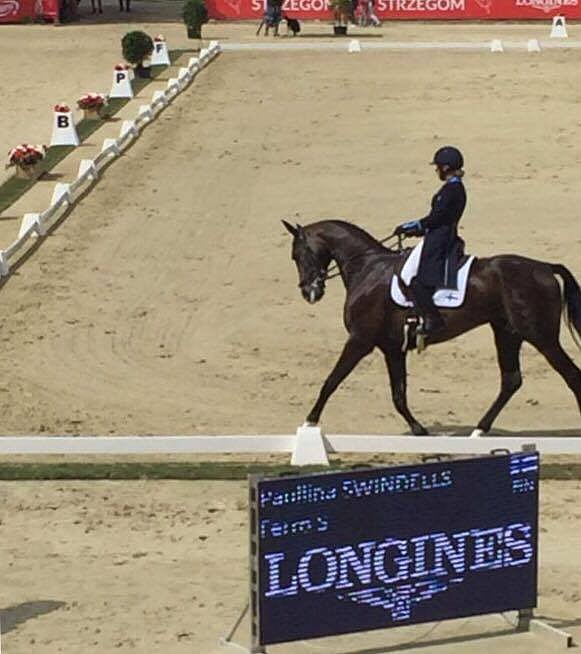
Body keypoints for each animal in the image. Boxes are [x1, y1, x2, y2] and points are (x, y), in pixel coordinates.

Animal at [282, 219, 581, 436]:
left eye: (297, 254)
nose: (310, 293)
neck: (368, 268)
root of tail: (545, 267)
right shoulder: (392, 348)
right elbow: (399, 395)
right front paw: (419, 430)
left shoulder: (360, 340)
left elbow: (331, 381)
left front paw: (309, 423)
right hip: (507, 332)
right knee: (511, 380)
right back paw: (479, 430)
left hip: (541, 337)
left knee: (571, 376)